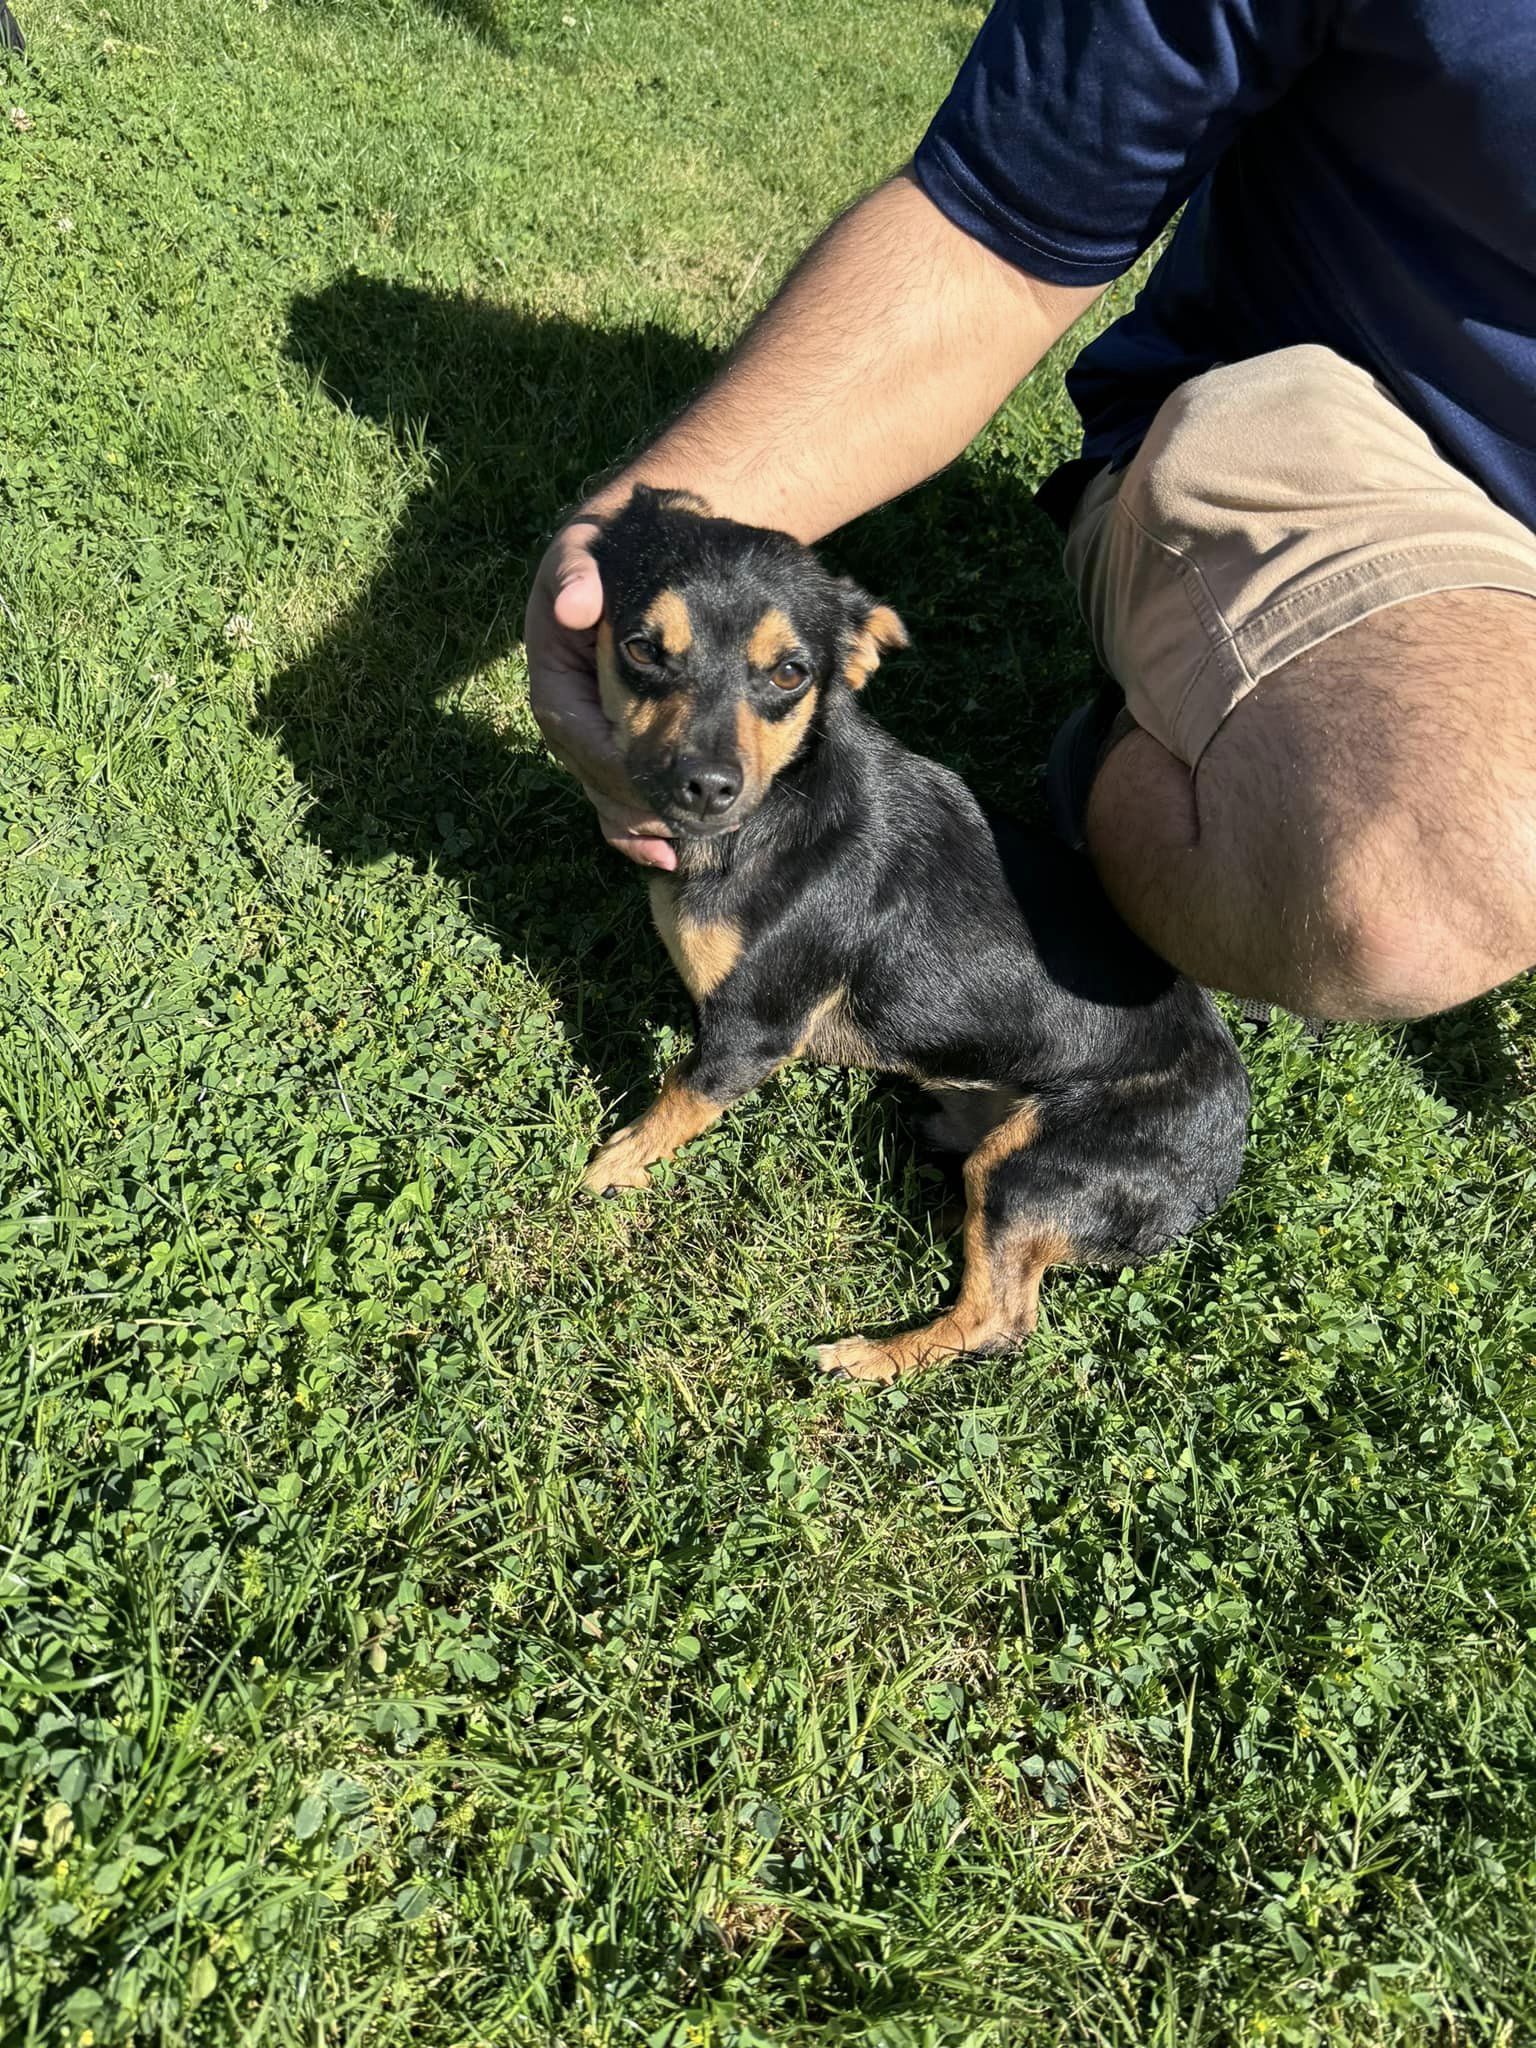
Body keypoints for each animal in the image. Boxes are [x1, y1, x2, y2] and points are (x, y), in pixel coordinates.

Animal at [577, 487, 1253, 1384]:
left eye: (790, 673)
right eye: (642, 649)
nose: (708, 784)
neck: (775, 811)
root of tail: (1224, 1159)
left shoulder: (751, 1033)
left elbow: (676, 1099)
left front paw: (610, 1165)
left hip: (1027, 1172)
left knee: (997, 1320)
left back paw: (865, 1358)